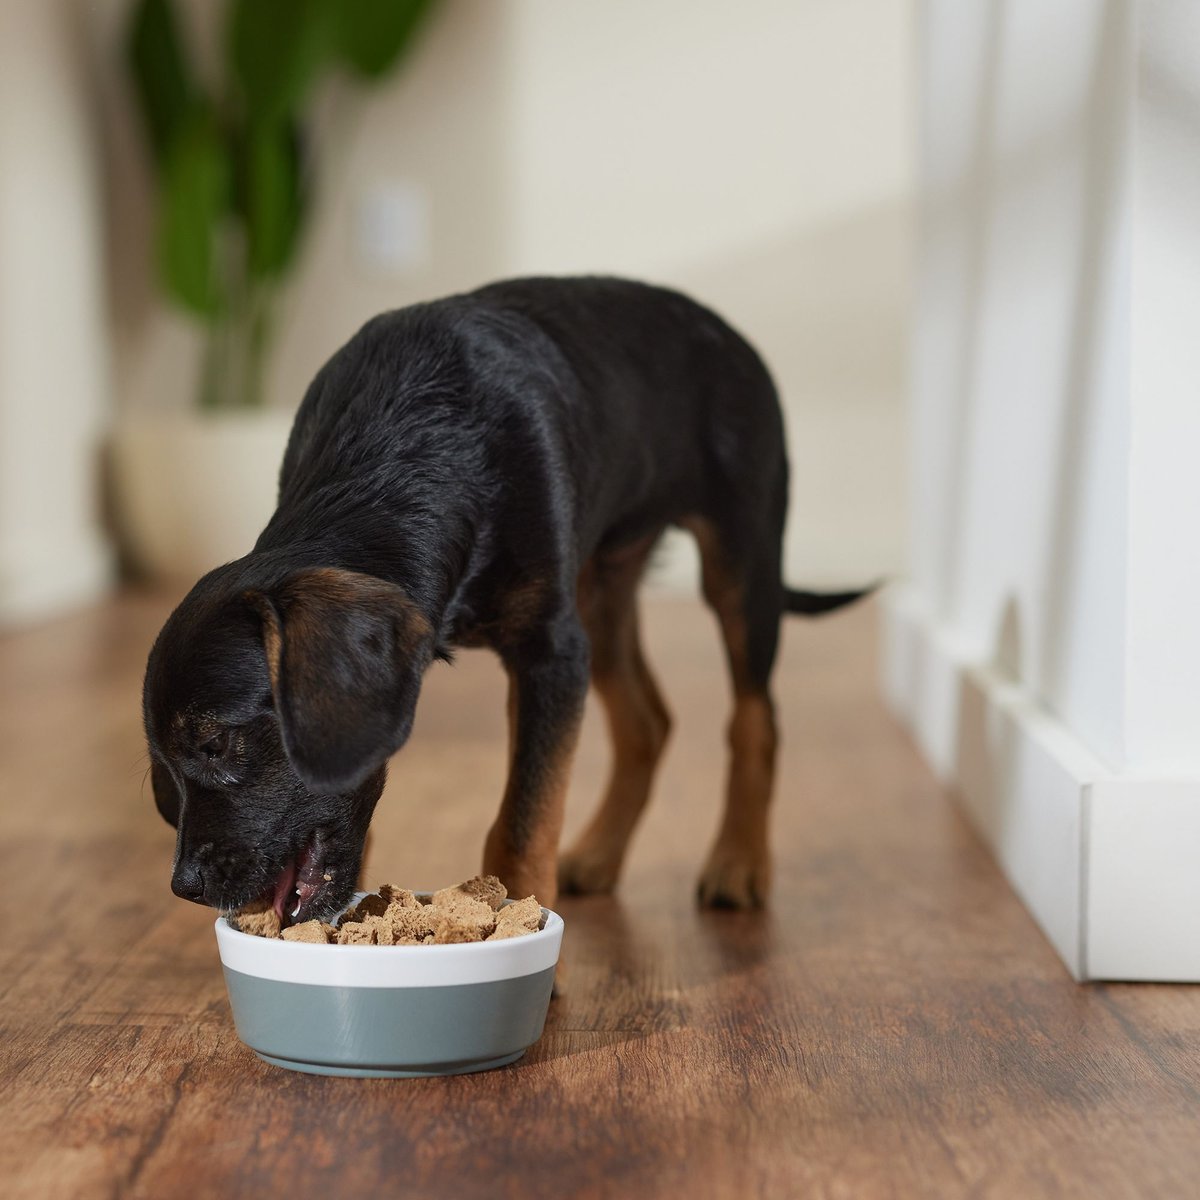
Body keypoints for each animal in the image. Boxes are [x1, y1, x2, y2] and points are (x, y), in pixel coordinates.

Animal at [142, 278, 864, 926]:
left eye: (215, 743)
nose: (186, 887)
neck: (408, 450)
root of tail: (724, 327)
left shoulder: (550, 651)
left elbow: (523, 818)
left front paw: (520, 924)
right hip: (600, 591)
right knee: (647, 722)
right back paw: (600, 855)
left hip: (739, 562)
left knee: (755, 718)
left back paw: (739, 862)